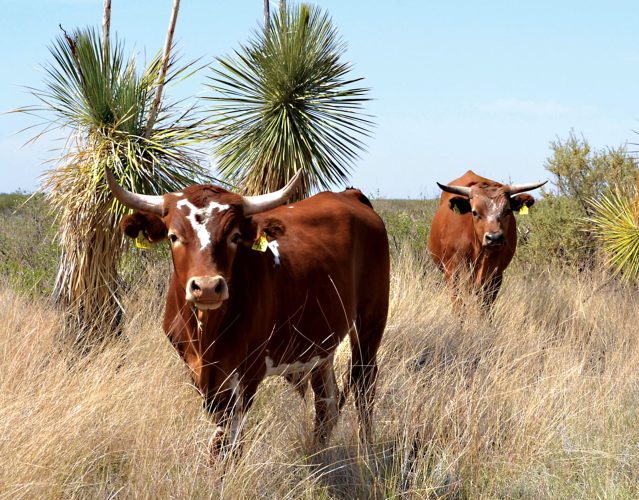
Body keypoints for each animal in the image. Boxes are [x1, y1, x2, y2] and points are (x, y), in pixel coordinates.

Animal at [105, 170, 390, 458]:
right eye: (173, 236)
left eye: (234, 236)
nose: (207, 287)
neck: (207, 333)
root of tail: (349, 195)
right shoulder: (197, 371)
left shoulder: (247, 373)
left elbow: (228, 443)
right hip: (321, 344)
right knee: (325, 405)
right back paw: (316, 458)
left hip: (370, 323)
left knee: (364, 386)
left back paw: (367, 453)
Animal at [430, 170, 544, 308]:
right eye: (474, 212)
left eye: (508, 210)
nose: (494, 238)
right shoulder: (452, 275)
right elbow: (459, 307)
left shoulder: (495, 278)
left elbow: (485, 308)